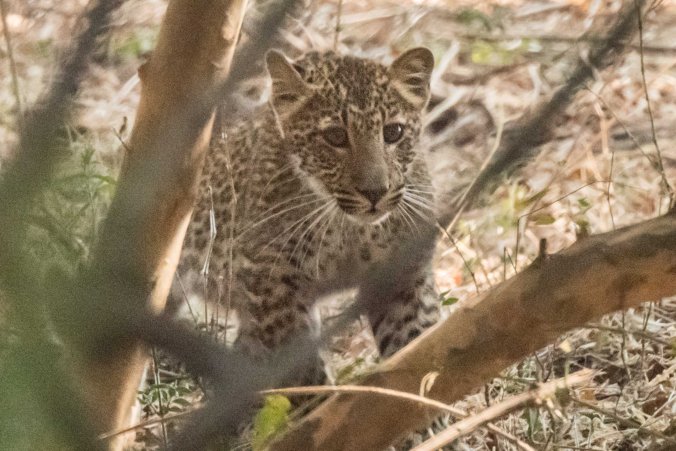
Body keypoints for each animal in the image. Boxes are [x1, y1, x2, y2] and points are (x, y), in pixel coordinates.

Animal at [175, 47, 440, 383]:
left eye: (393, 133)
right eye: (336, 136)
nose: (375, 192)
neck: (353, 230)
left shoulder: (403, 275)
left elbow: (417, 347)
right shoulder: (273, 284)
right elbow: (304, 371)